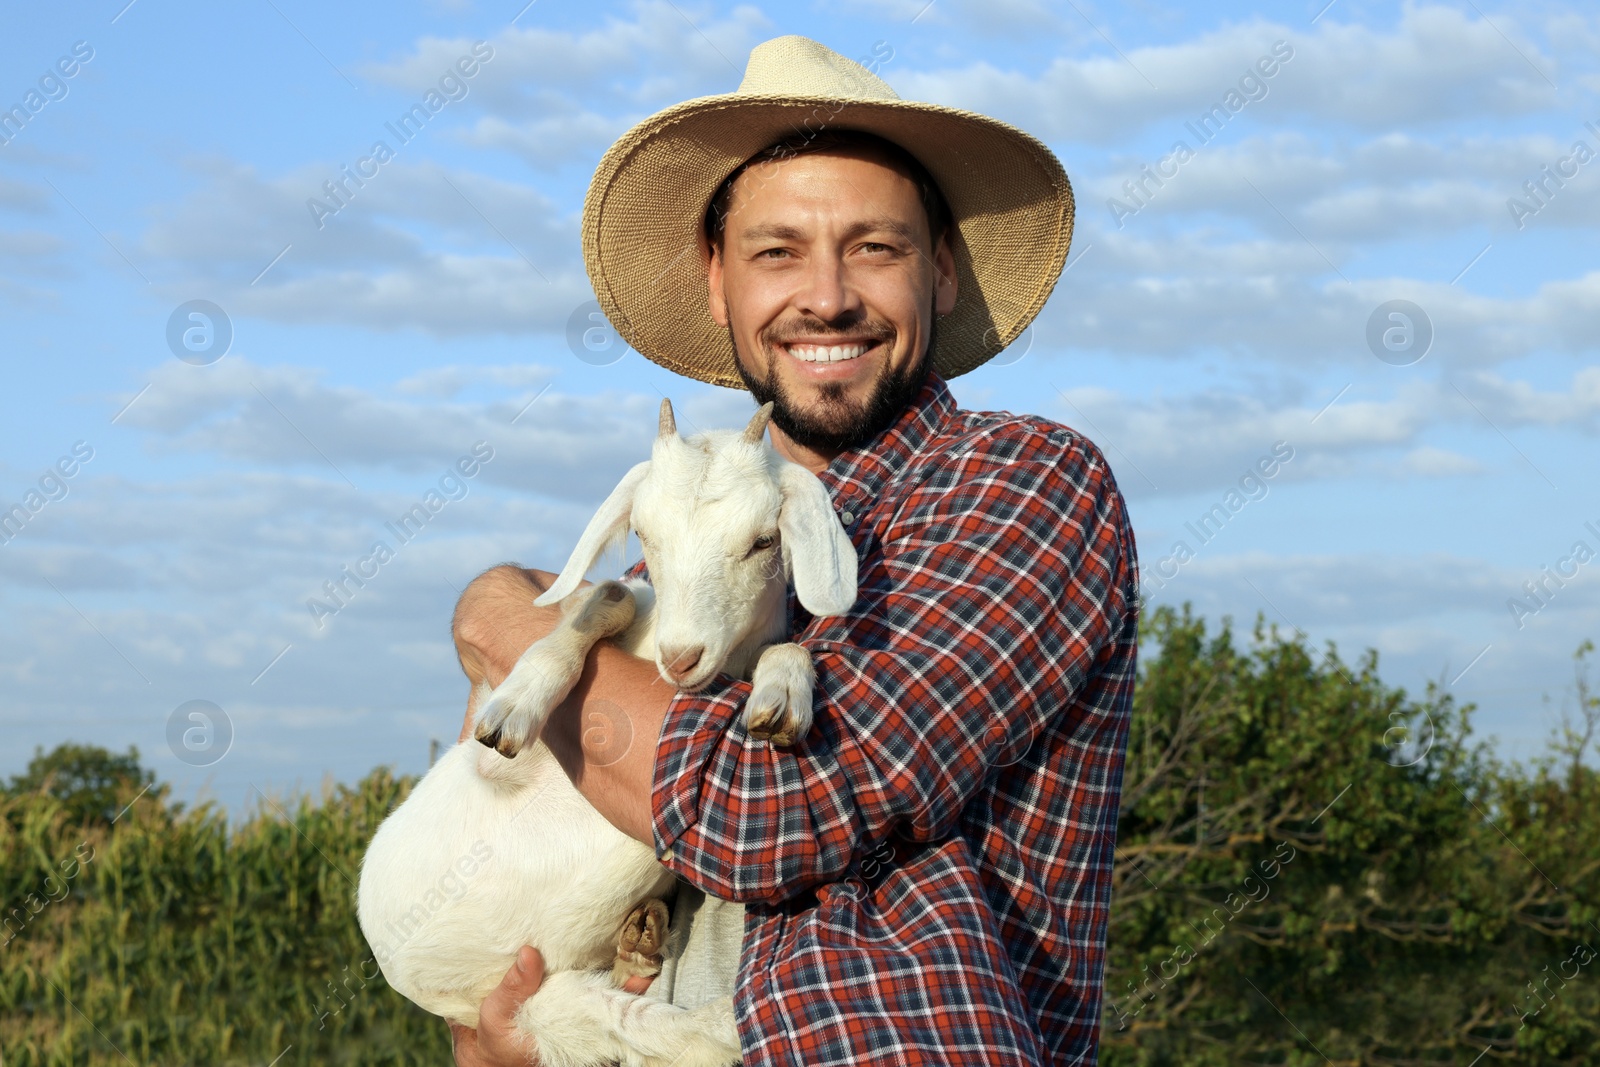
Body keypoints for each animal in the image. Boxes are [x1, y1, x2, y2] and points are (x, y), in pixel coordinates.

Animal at [360, 398, 864, 1067]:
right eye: (644, 535)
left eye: (763, 541)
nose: (681, 657)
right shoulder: (482, 765)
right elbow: (612, 593)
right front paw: (515, 706)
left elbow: (784, 649)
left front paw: (783, 696)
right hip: (530, 1002)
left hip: (545, 1003)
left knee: (658, 1028)